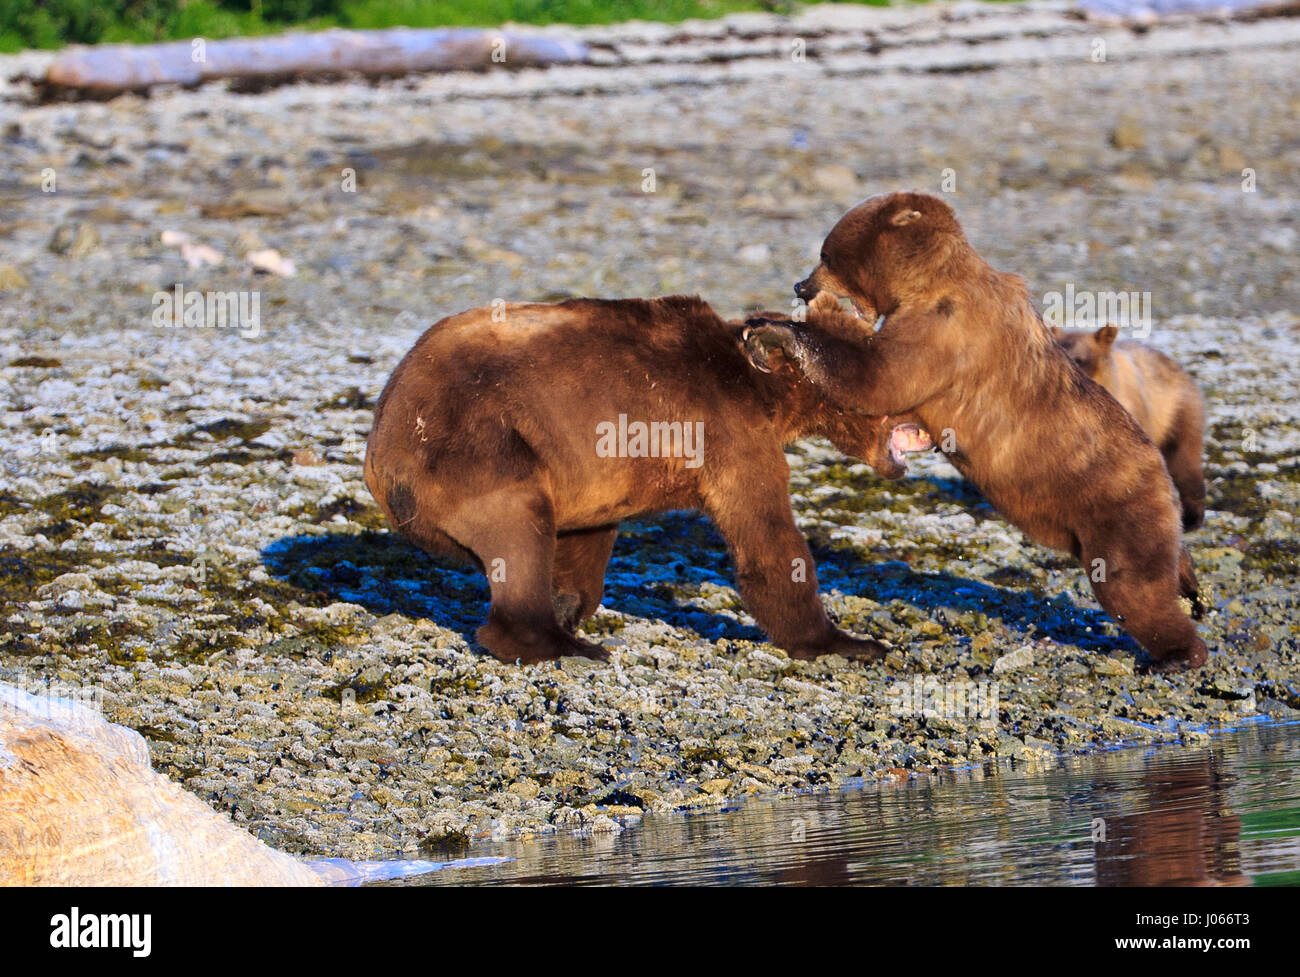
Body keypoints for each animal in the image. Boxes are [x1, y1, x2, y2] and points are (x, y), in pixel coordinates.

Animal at [364, 294, 928, 665]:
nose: (927, 420)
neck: (769, 393)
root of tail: (380, 442)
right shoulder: (727, 432)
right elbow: (768, 537)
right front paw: (847, 642)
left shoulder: (592, 467)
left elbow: (588, 536)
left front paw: (569, 601)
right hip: (475, 444)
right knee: (517, 525)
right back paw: (562, 645)